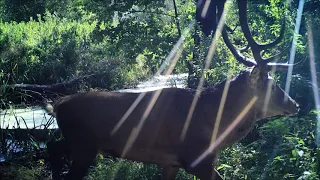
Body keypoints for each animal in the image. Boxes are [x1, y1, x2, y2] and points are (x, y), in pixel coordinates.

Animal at [46, 0, 298, 179]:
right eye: (272, 84)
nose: (295, 104)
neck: (216, 125)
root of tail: (57, 105)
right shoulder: (197, 160)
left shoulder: (171, 163)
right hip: (83, 146)